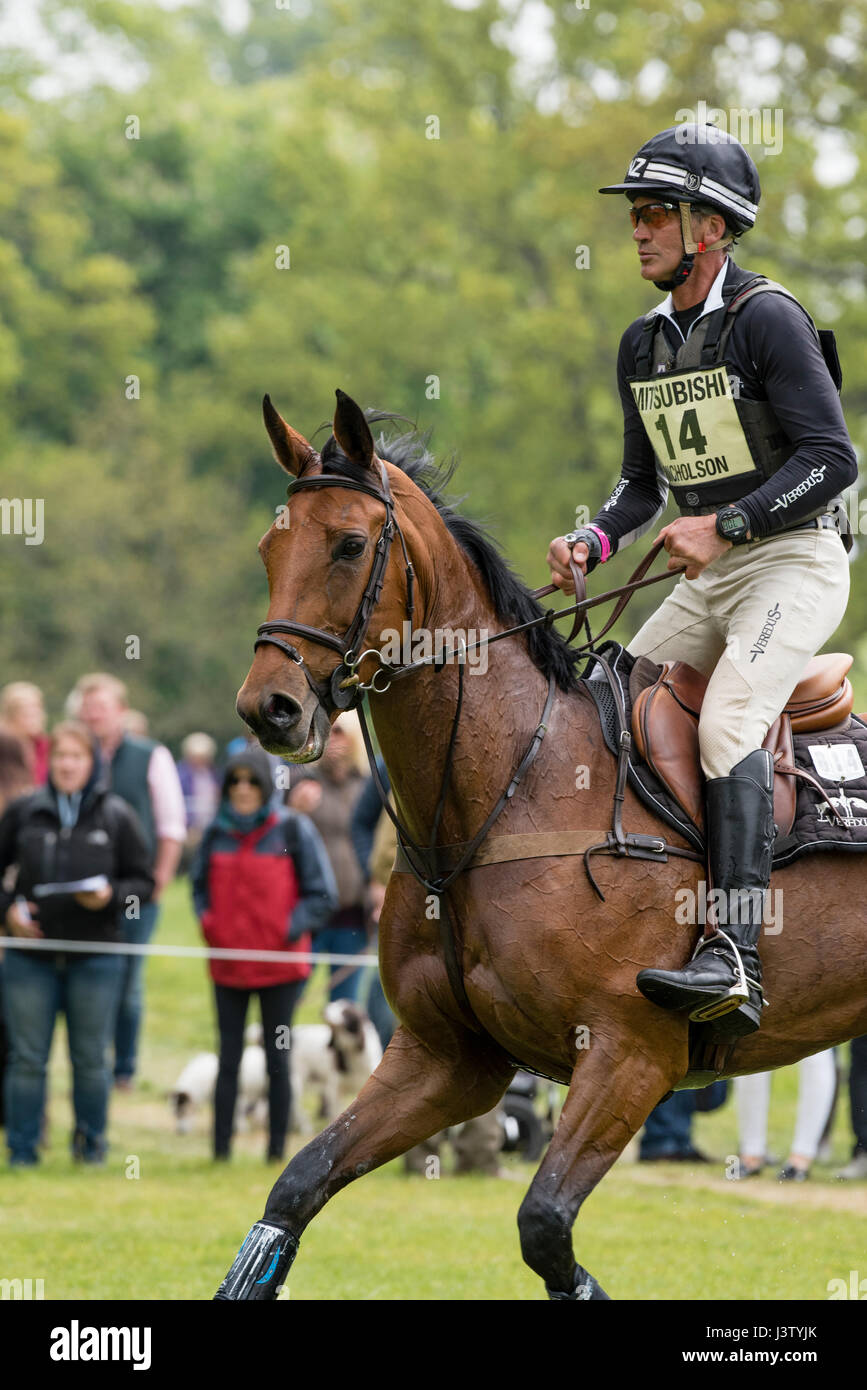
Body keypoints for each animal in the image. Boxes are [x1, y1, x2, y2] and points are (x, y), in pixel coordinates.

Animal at [218, 386, 867, 1295]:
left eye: (348, 544)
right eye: (269, 546)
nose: (268, 709)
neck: (508, 786)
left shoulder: (628, 1057)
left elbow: (544, 1228)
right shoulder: (445, 1058)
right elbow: (297, 1185)